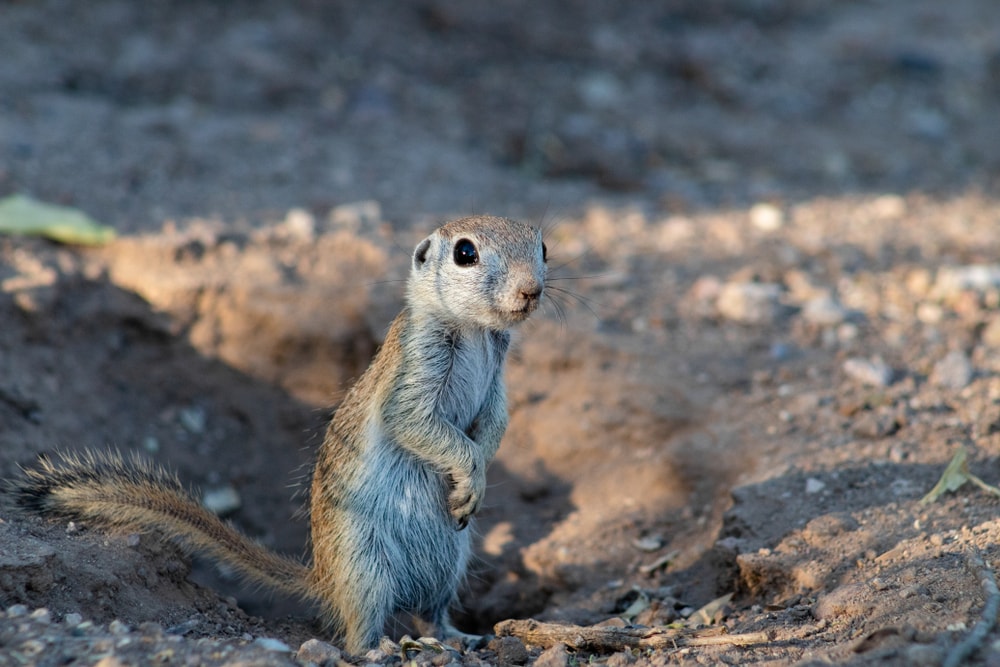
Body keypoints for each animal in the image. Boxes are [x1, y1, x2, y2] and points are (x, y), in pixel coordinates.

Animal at [12, 215, 547, 654]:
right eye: (465, 253)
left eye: (542, 246)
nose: (532, 291)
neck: (474, 331)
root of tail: (323, 579)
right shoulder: (413, 380)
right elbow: (418, 423)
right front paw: (470, 473)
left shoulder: (496, 388)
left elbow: (494, 425)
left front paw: (479, 473)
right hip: (366, 565)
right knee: (359, 633)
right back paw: (383, 648)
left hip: (449, 565)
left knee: (431, 615)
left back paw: (463, 637)